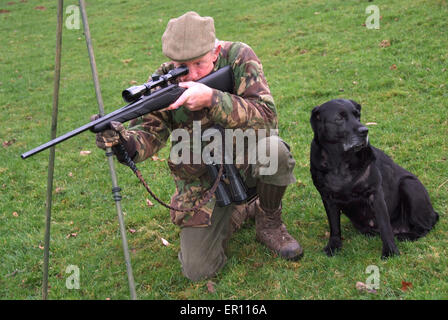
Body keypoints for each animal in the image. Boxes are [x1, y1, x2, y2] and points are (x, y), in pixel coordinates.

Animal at [310, 99, 440, 258]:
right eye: (339, 118)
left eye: (357, 115)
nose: (364, 131)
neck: (340, 162)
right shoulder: (328, 198)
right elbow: (334, 226)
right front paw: (333, 246)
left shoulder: (375, 194)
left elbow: (385, 226)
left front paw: (390, 251)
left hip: (409, 184)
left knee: (425, 227)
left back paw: (405, 236)